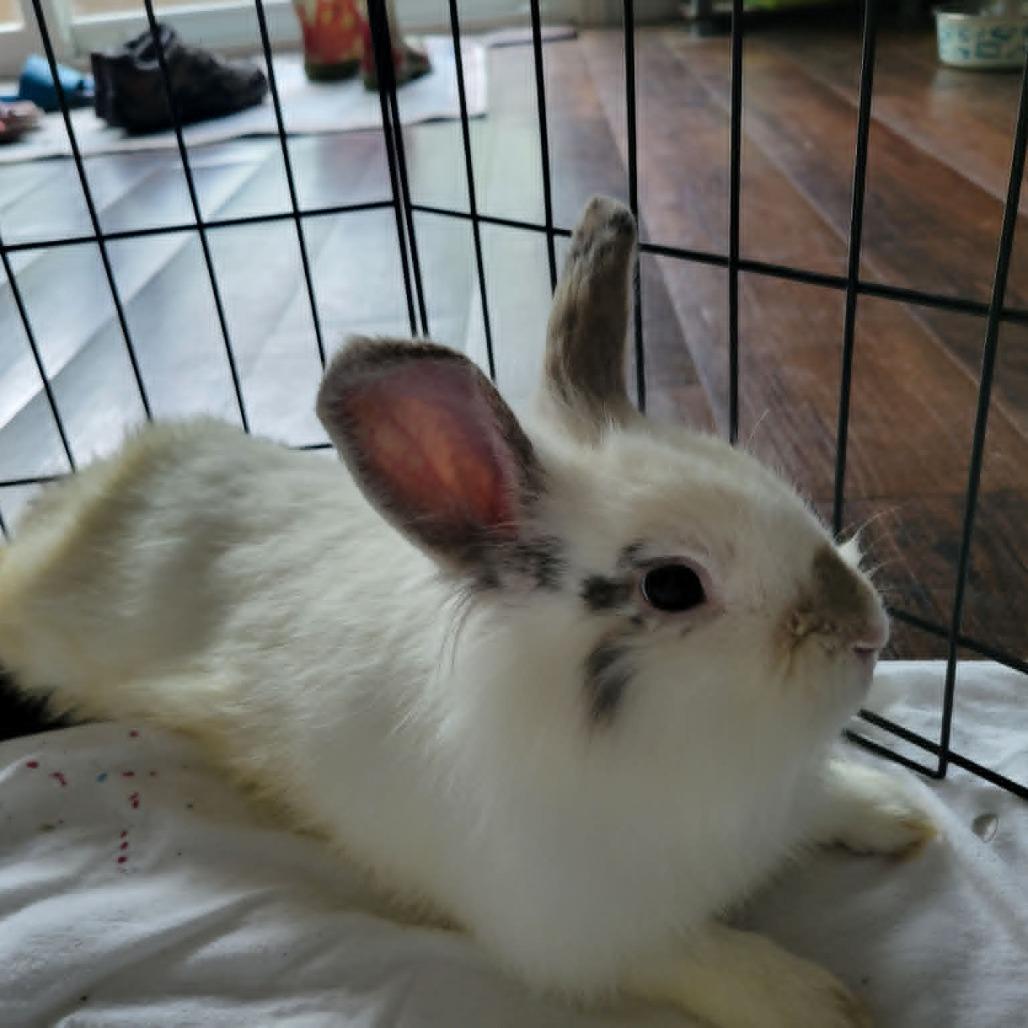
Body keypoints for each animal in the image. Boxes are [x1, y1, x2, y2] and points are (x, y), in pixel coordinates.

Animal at [0, 196, 936, 1028]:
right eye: (672, 586)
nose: (868, 630)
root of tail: (95, 487)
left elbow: (831, 802)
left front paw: (900, 816)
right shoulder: (587, 932)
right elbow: (709, 957)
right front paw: (822, 1003)